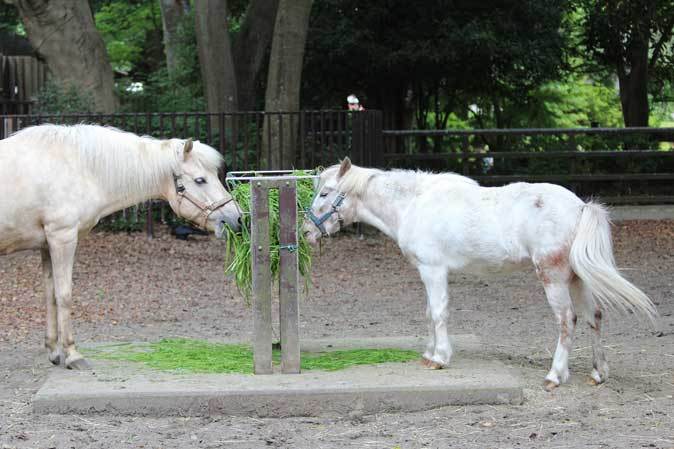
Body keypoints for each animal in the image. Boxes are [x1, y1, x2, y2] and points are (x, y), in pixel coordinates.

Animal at [0, 124, 242, 370]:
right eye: (201, 180)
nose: (237, 218)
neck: (77, 167)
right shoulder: (62, 238)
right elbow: (64, 295)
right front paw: (72, 354)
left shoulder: (46, 245)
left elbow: (51, 295)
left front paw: (54, 351)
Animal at [302, 158, 652, 388]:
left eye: (325, 193)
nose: (305, 231)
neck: (414, 204)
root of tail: (579, 207)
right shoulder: (428, 274)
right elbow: (429, 313)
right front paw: (429, 354)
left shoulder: (433, 271)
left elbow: (438, 313)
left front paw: (440, 358)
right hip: (577, 278)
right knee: (594, 316)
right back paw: (598, 373)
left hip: (553, 278)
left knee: (567, 320)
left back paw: (555, 375)